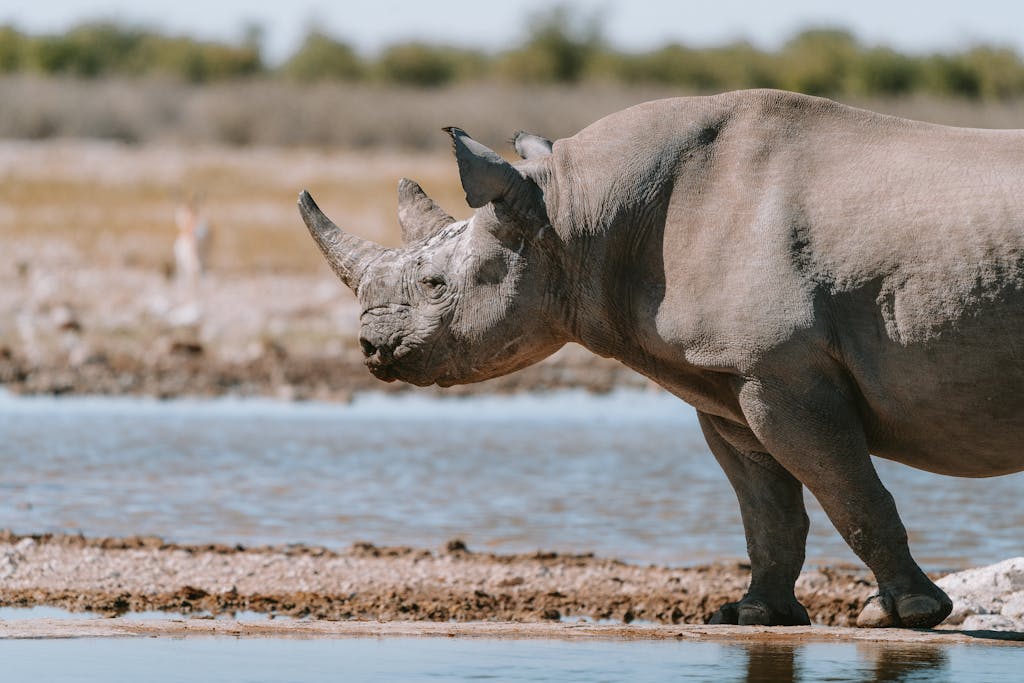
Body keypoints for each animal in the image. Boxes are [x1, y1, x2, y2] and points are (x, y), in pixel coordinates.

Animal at [297, 89, 1024, 629]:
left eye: (434, 285)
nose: (372, 349)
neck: (576, 213)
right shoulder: (731, 377)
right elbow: (766, 508)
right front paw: (751, 616)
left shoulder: (783, 367)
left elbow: (850, 493)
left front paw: (906, 614)